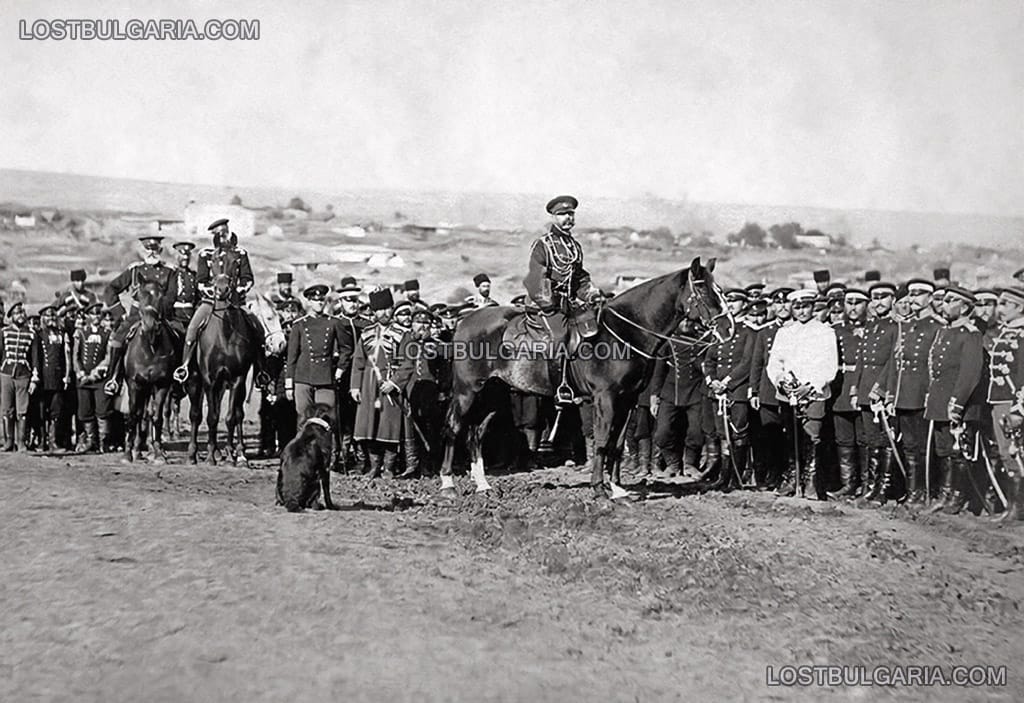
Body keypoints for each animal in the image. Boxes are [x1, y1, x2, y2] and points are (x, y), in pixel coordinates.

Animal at [113, 282, 183, 464]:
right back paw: (137, 449)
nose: (150, 325)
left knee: (146, 415)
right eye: (140, 296)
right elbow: (133, 416)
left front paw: (158, 453)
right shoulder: (134, 384)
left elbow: (156, 416)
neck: (149, 348)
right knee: (140, 415)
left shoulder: (162, 385)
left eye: (161, 297)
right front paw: (127, 453)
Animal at [185, 274, 286, 466]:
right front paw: (210, 456)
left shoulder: (238, 380)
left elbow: (233, 416)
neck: (224, 334)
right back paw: (193, 453)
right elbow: (212, 417)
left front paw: (236, 454)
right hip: (196, 381)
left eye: (230, 279)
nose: (281, 344)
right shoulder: (210, 381)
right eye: (269, 318)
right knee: (195, 414)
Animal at [436, 255, 733, 497]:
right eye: (703, 288)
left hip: (493, 394)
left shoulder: (629, 400)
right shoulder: (605, 398)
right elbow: (602, 441)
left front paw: (617, 488)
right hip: (467, 391)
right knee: (453, 427)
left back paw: (483, 485)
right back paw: (448, 485)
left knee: (476, 432)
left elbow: (617, 443)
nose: (728, 328)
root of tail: (464, 322)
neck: (624, 333)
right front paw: (599, 489)